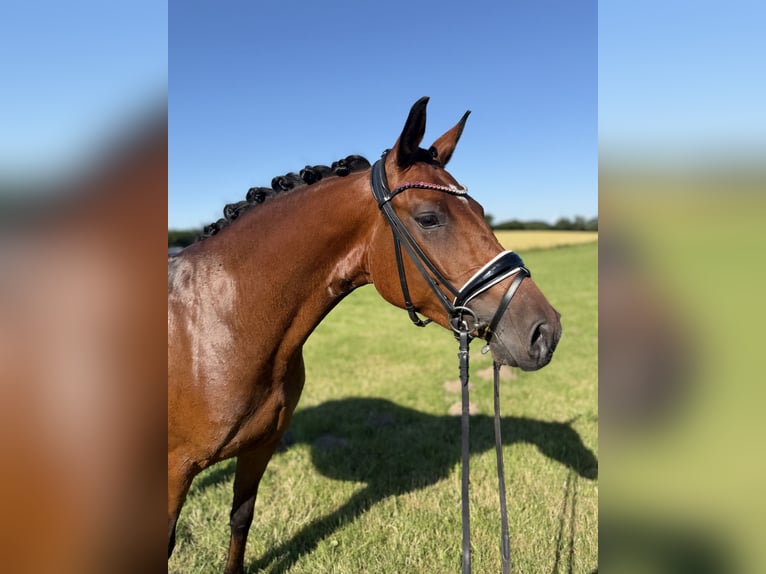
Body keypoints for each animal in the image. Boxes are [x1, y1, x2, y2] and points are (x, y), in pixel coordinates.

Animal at [168, 97, 562, 573]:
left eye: (483, 210)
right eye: (429, 218)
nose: (544, 331)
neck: (220, 325)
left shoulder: (260, 447)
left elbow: (241, 519)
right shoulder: (172, 472)